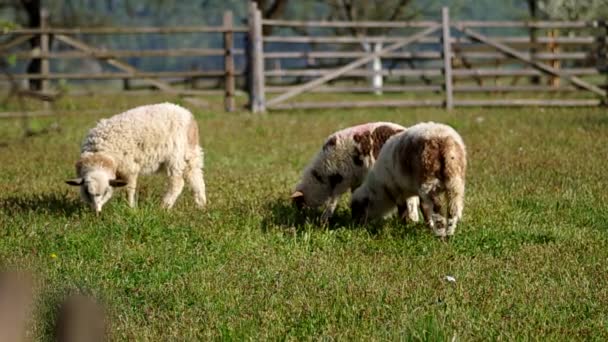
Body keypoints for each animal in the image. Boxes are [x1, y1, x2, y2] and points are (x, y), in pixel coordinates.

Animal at [64, 102, 207, 214]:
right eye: (87, 192)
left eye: (105, 192)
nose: (97, 213)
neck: (99, 155)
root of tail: (188, 116)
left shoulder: (129, 168)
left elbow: (129, 190)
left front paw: (130, 208)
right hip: (191, 154)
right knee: (196, 178)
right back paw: (201, 206)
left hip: (175, 156)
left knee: (177, 183)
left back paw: (163, 207)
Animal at [292, 122, 420, 222]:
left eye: (299, 202)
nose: (298, 217)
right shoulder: (355, 180)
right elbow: (354, 194)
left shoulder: (342, 179)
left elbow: (333, 200)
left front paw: (324, 220)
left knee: (411, 203)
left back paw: (411, 220)